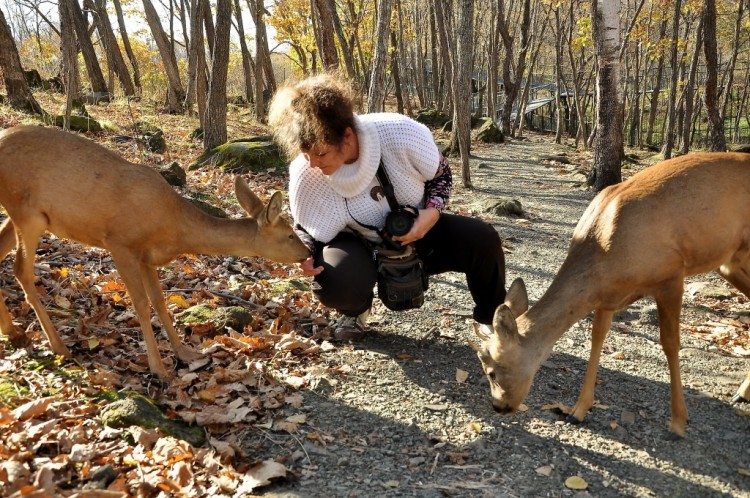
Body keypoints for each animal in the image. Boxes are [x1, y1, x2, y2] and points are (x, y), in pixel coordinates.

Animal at [0, 124, 312, 378]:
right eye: (288, 234)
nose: (307, 253)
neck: (174, 229)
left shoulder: (147, 258)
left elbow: (160, 302)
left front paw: (185, 352)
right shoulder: (120, 242)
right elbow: (140, 303)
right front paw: (158, 368)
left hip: (20, 215)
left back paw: (15, 333)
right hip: (27, 213)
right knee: (21, 271)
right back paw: (58, 346)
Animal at [476, 151, 750, 436]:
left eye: (492, 370)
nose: (499, 406)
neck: (607, 249)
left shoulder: (671, 275)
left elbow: (670, 344)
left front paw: (678, 421)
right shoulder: (607, 296)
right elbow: (597, 337)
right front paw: (578, 410)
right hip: (730, 262)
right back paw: (742, 393)